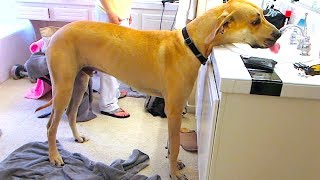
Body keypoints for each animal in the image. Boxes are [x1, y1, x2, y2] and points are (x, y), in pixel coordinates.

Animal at [44, 0, 280, 179]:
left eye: (262, 16)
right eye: (255, 21)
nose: (279, 33)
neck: (190, 44)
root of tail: (58, 31)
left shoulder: (173, 110)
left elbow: (171, 141)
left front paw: (173, 162)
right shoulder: (174, 109)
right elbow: (175, 145)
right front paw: (174, 173)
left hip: (80, 82)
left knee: (71, 113)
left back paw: (77, 138)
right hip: (64, 87)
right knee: (50, 126)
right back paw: (54, 157)